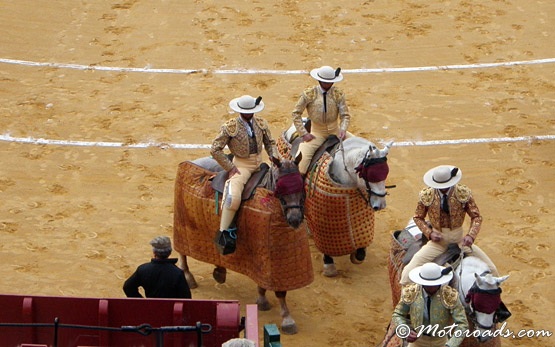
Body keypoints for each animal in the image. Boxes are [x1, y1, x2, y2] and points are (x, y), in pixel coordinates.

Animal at [174, 155, 312, 334]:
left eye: (301, 184)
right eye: (279, 186)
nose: (295, 219)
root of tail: (195, 161)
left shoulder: (266, 257)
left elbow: (265, 280)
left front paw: (262, 299)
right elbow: (280, 291)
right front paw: (287, 320)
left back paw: (220, 271)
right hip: (182, 220)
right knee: (182, 251)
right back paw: (189, 277)